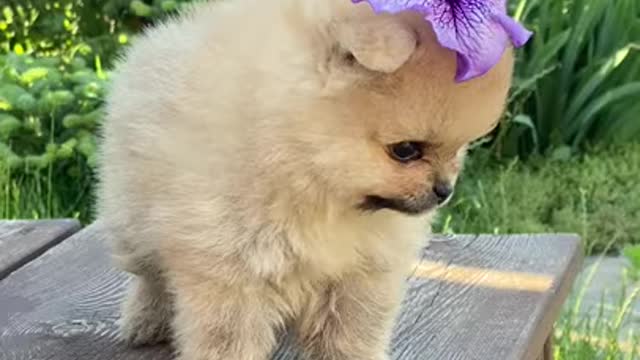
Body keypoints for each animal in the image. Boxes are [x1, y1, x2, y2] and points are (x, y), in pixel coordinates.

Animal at [96, 0, 516, 360]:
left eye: (460, 149)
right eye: (405, 150)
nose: (444, 190)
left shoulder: (361, 274)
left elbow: (352, 332)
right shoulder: (229, 271)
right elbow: (227, 338)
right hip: (132, 223)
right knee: (151, 277)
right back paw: (146, 322)